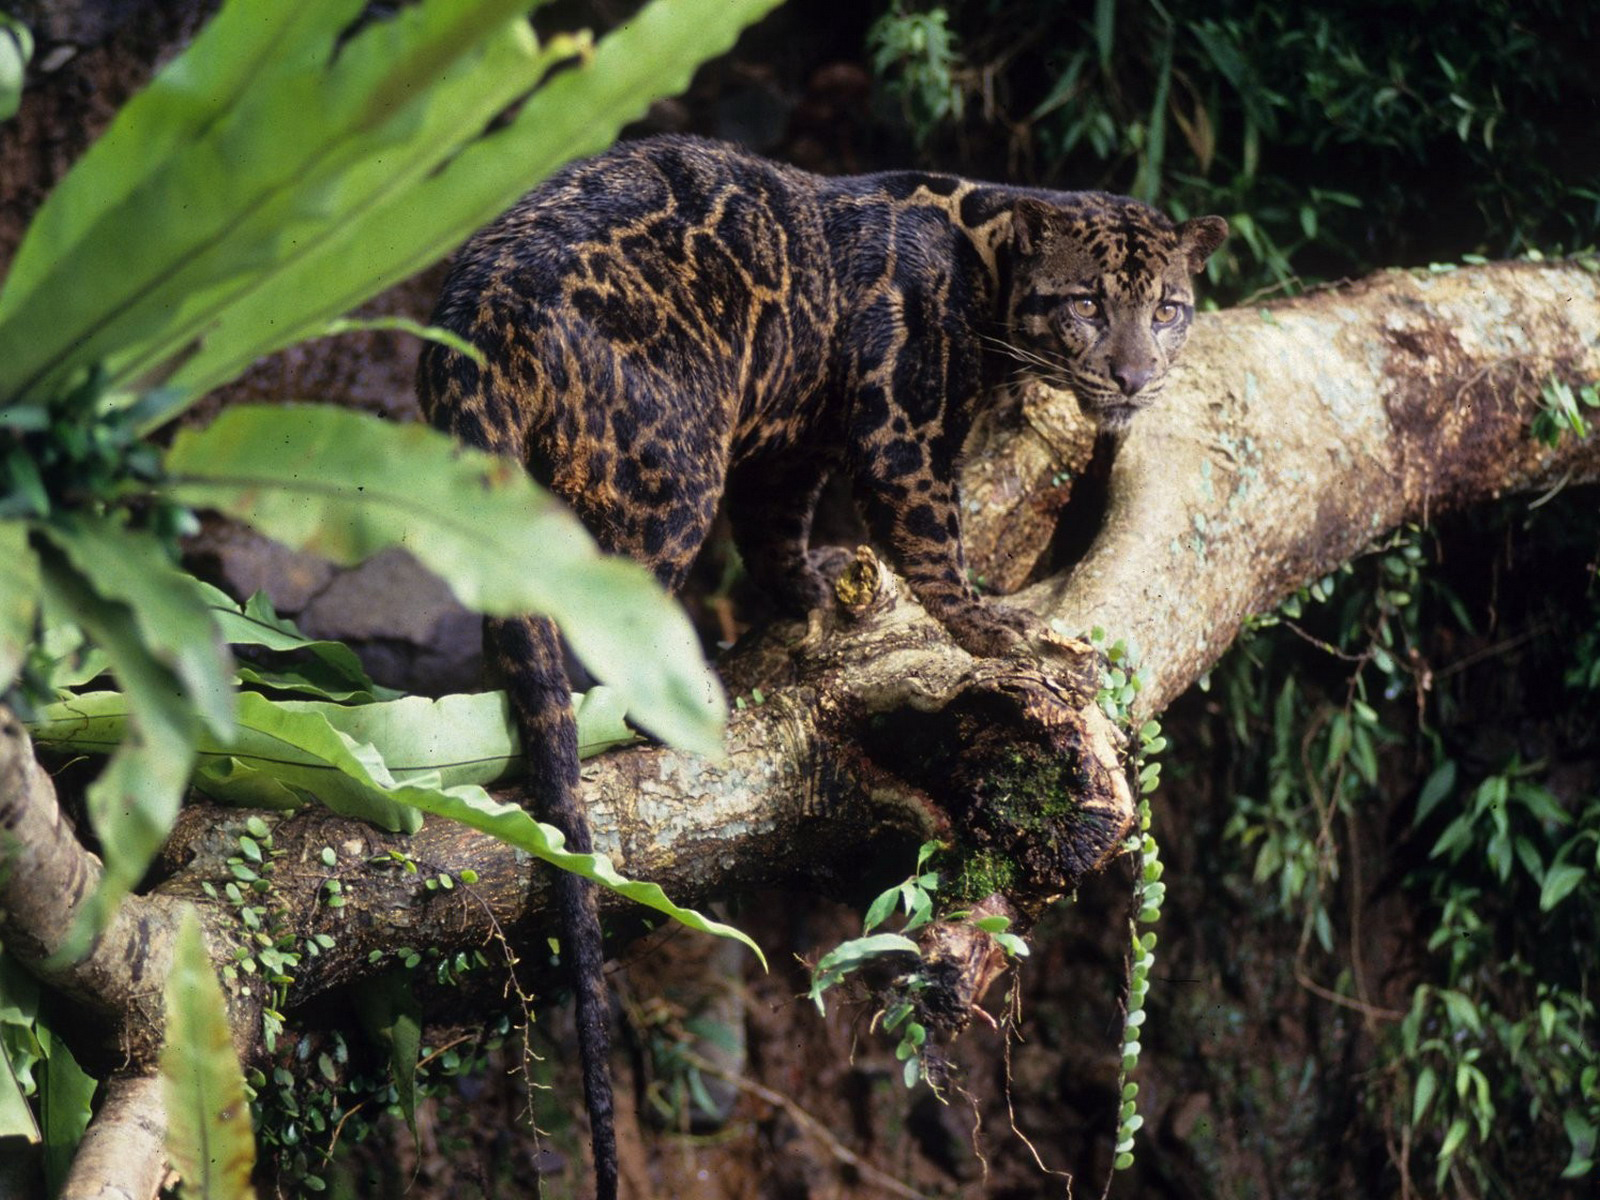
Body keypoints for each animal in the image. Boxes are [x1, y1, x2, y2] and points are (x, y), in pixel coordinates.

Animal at [412, 133, 1222, 1200]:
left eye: (1167, 308)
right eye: (1088, 302)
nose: (1133, 376)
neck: (989, 260)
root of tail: (481, 300)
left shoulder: (793, 442)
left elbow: (775, 531)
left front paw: (812, 586)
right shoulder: (898, 426)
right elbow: (932, 539)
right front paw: (994, 630)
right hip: (667, 471)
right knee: (591, 621)